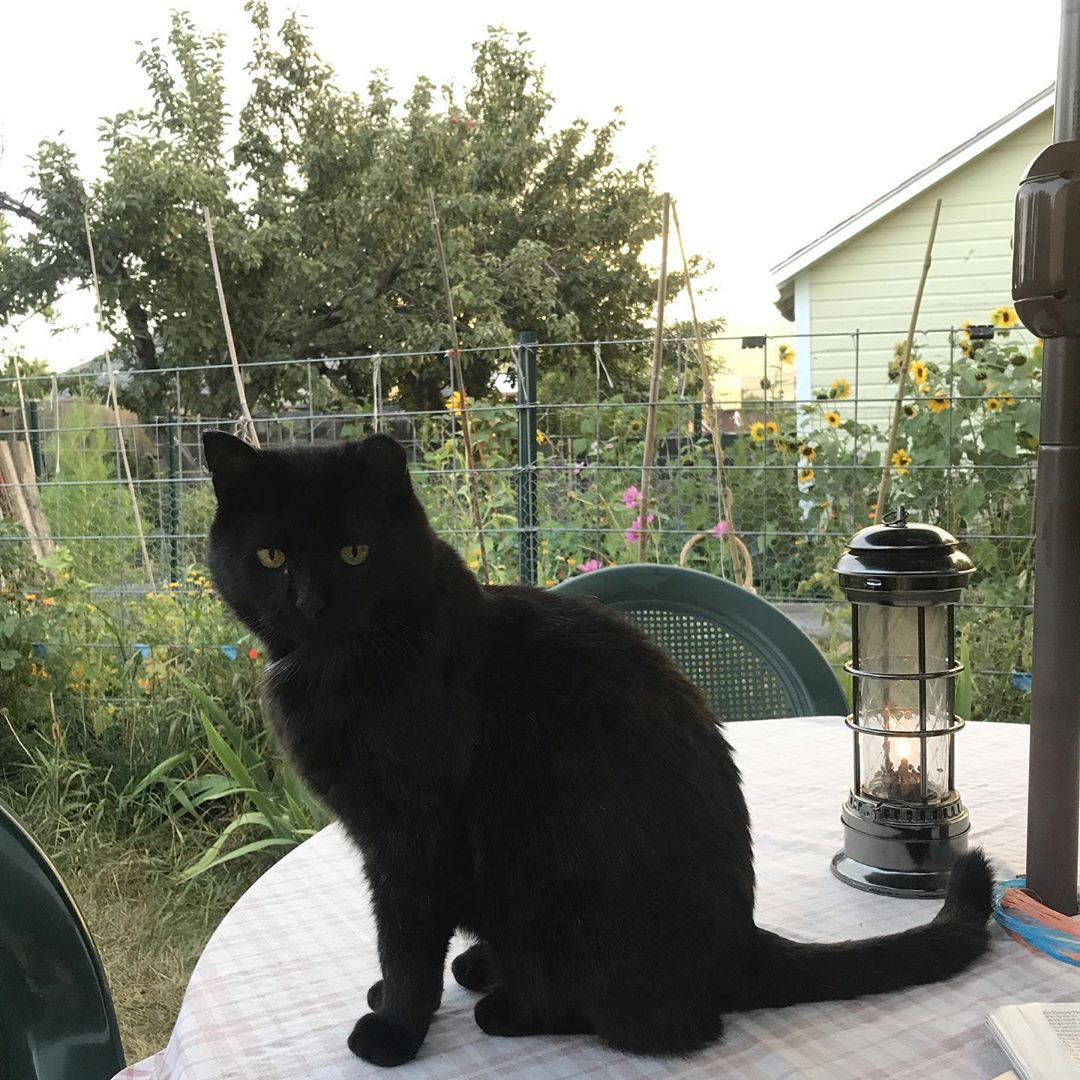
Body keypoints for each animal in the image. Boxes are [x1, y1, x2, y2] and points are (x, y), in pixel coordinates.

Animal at [204, 432, 993, 1071]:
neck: (336, 668)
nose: (308, 601)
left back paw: (507, 1006)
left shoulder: (411, 837)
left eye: (354, 552)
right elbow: (401, 939)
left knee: (665, 1025)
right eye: (271, 555)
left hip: (554, 894)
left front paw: (395, 1029)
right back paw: (485, 968)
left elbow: (404, 941)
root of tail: (742, 944)